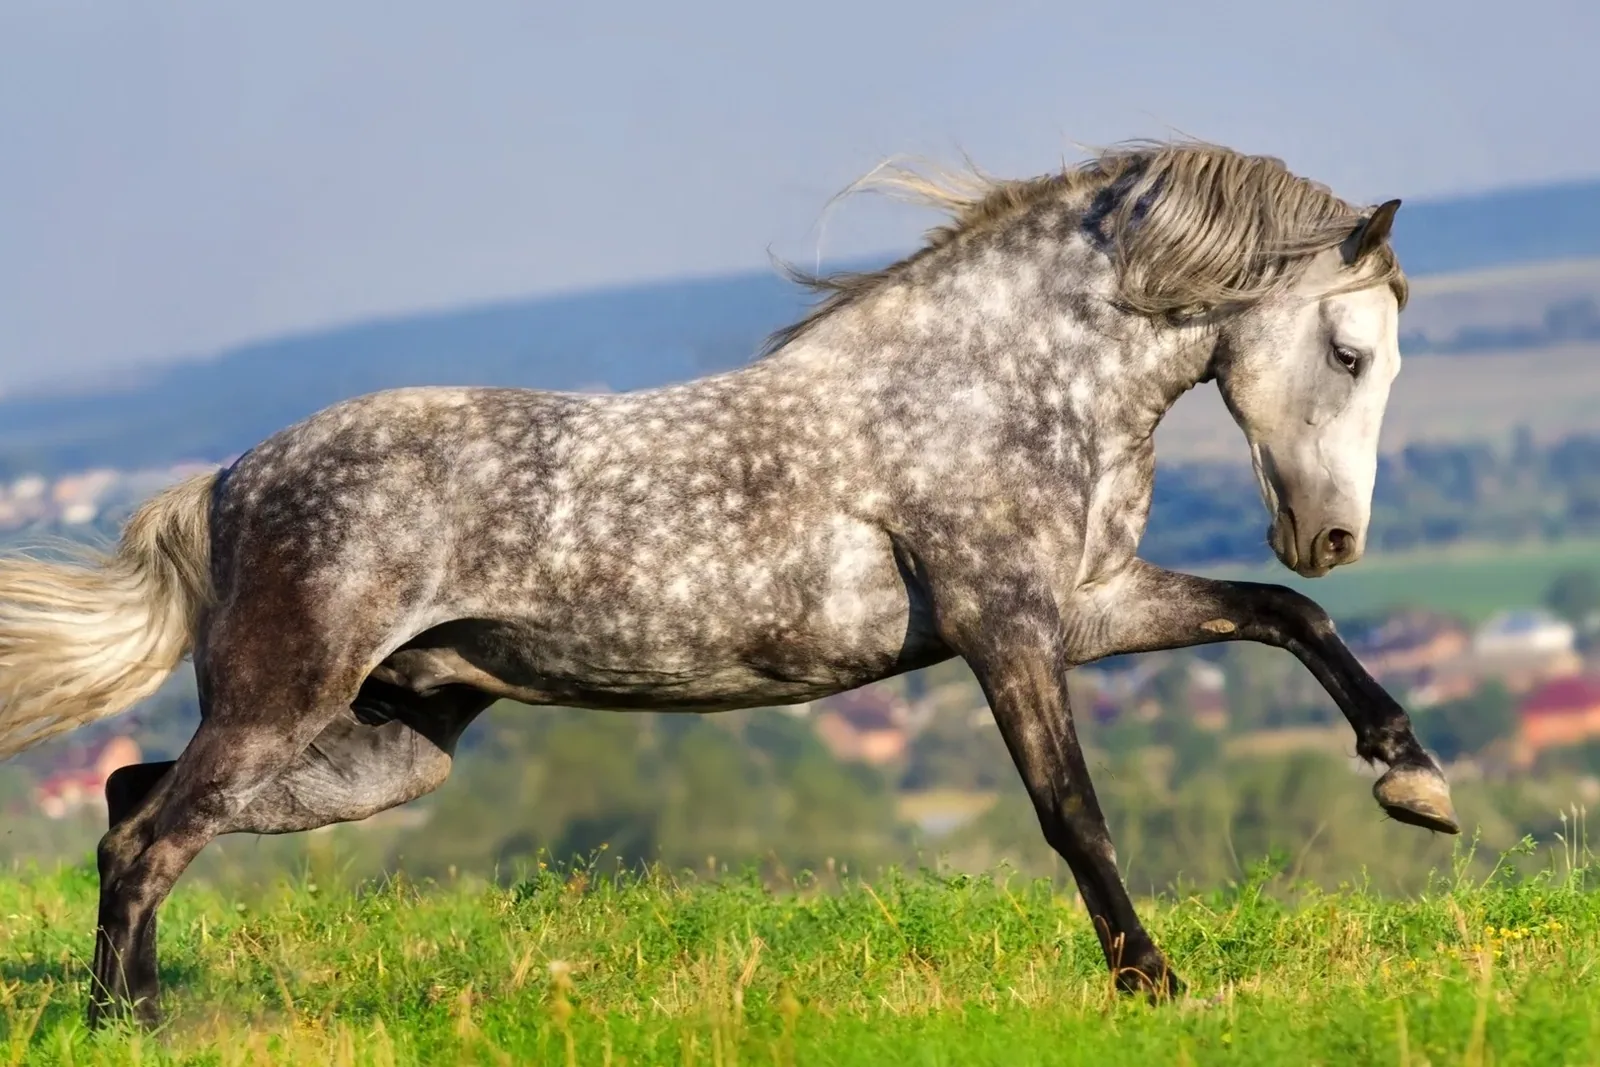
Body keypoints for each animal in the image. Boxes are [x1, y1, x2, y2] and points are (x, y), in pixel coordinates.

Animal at [0, 138, 1458, 1027]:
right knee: (147, 836)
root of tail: (224, 483)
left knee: (131, 801)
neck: (993, 382)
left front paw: (1415, 782)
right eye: (1346, 350)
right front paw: (1151, 980)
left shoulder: (1090, 605)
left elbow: (1285, 618)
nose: (1332, 532)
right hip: (283, 706)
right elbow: (1073, 812)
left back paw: (133, 1010)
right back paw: (125, 1024)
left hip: (383, 746)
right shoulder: (1009, 631)